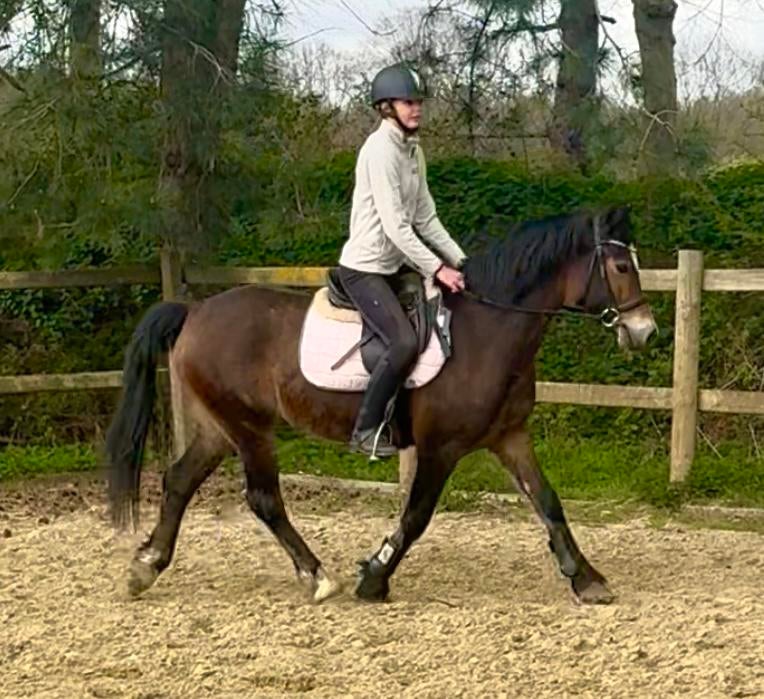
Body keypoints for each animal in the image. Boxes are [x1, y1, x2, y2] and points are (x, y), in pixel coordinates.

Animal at [105, 204, 657, 605]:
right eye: (620, 265)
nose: (645, 331)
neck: (488, 329)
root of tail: (194, 310)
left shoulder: (509, 436)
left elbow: (548, 502)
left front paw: (587, 579)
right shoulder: (441, 447)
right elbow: (416, 516)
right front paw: (373, 576)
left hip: (218, 428)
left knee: (179, 481)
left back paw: (145, 568)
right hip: (248, 428)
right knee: (263, 498)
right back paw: (317, 577)